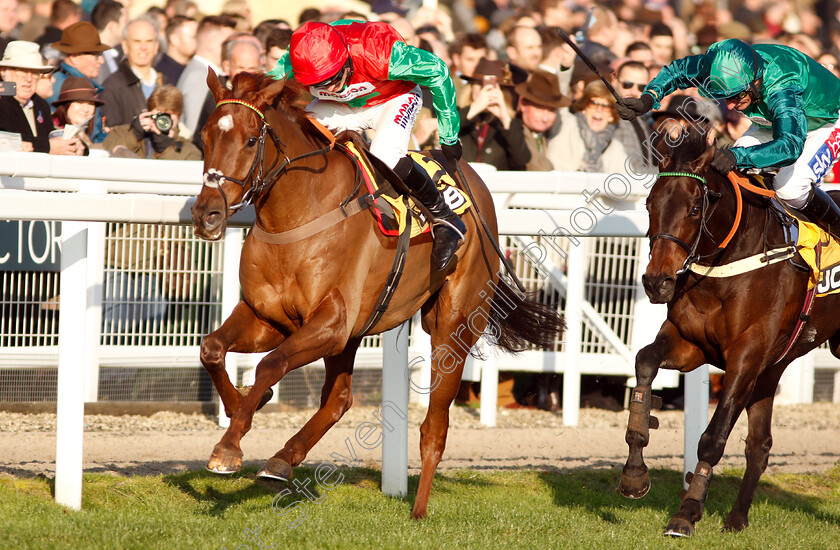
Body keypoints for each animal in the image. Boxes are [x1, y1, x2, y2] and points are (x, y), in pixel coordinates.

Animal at [187, 71, 560, 520]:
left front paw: (228, 447)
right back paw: (282, 459)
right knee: (339, 399)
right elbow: (212, 348)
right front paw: (238, 409)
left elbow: (271, 365)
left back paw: (418, 510)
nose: (206, 214)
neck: (296, 214)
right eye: (205, 136)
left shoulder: (330, 324)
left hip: (451, 327)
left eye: (248, 140)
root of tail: (476, 185)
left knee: (434, 424)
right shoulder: (270, 318)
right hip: (357, 330)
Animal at [620, 134, 840, 540]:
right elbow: (645, 362)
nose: (657, 282)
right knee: (760, 445)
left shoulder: (746, 357)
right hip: (773, 367)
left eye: (695, 207)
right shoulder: (691, 344)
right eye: (649, 204)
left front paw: (686, 512)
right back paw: (737, 517)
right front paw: (634, 473)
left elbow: (713, 437)